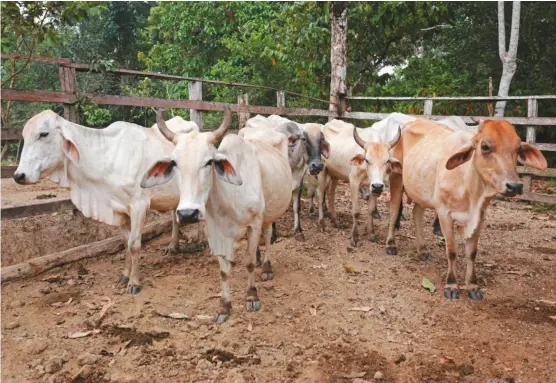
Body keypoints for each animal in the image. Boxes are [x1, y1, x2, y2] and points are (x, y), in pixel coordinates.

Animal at [13, 110, 201, 294]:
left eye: (43, 134)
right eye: (24, 136)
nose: (19, 175)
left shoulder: (138, 206)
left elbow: (134, 244)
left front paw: (134, 283)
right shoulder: (119, 209)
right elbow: (125, 243)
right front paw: (125, 275)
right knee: (175, 216)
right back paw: (173, 246)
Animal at [141, 106, 294, 324]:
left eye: (209, 162)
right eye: (175, 163)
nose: (188, 213)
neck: (228, 197)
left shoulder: (254, 223)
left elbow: (249, 263)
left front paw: (252, 297)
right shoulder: (215, 231)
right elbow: (223, 270)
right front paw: (224, 307)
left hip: (269, 213)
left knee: (266, 236)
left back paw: (266, 267)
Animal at [386, 120, 548, 300]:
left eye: (518, 148)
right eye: (485, 146)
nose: (515, 186)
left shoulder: (480, 217)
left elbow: (472, 253)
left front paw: (472, 286)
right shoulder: (444, 214)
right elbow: (452, 251)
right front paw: (451, 285)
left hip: (421, 191)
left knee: (417, 213)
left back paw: (422, 250)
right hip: (396, 179)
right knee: (394, 212)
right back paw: (390, 245)